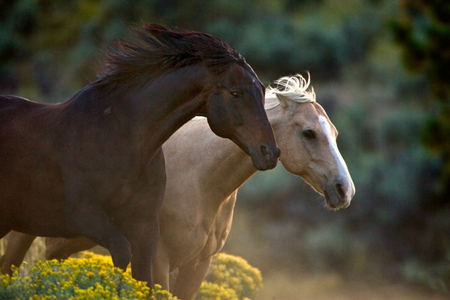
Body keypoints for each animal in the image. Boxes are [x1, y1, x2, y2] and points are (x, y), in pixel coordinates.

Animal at [0, 24, 282, 286]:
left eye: (262, 91)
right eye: (236, 93)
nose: (270, 152)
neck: (120, 139)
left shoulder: (145, 228)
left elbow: (144, 278)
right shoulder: (85, 215)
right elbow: (122, 256)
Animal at [0, 75, 356, 300]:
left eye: (335, 133)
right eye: (309, 132)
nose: (344, 190)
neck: (199, 176)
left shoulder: (198, 264)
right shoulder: (159, 257)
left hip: (60, 245)